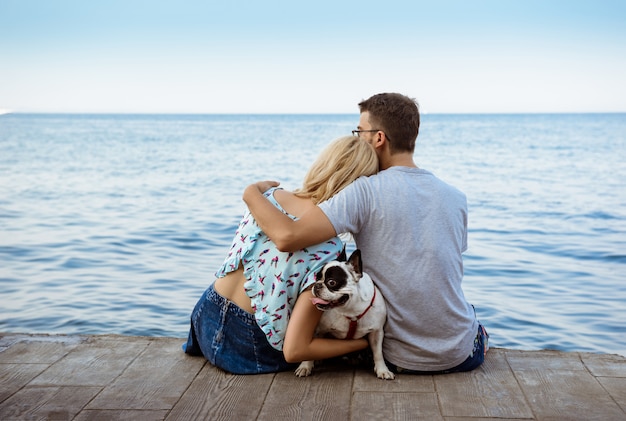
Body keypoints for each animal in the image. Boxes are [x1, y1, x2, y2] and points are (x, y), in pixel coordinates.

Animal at [294, 248, 392, 378]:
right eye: (317, 278)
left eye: (332, 282)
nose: (317, 285)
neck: (351, 311)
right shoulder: (317, 330)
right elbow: (308, 353)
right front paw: (305, 366)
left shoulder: (377, 332)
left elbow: (378, 353)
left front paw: (382, 370)